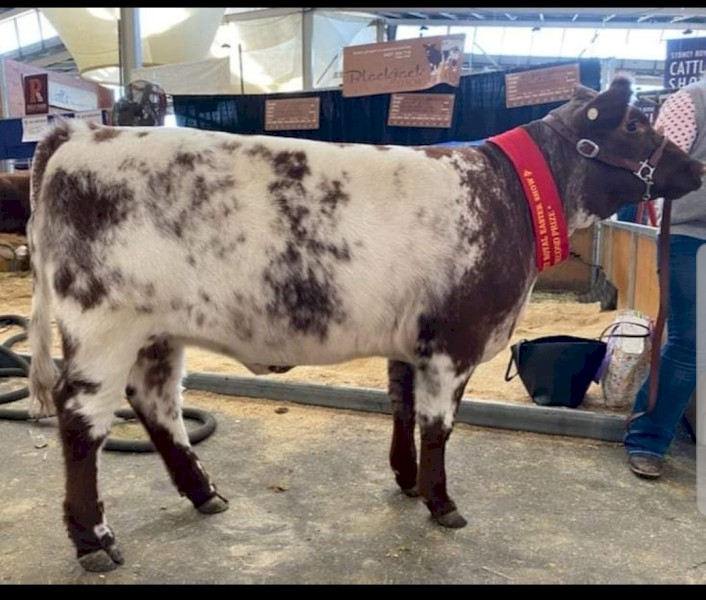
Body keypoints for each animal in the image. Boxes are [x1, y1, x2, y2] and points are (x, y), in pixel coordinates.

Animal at [26, 75, 704, 572]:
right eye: (637, 124)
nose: (695, 169)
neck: (510, 197)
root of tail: (82, 133)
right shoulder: (455, 339)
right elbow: (439, 425)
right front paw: (441, 501)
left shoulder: (413, 340)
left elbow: (402, 405)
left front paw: (407, 481)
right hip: (104, 325)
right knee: (81, 419)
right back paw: (94, 541)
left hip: (156, 332)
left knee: (157, 404)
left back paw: (205, 494)